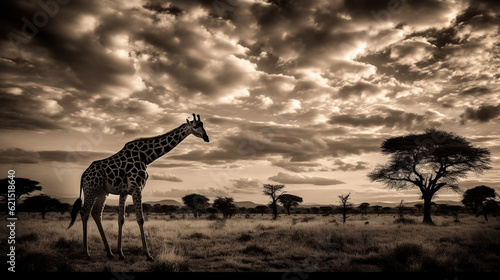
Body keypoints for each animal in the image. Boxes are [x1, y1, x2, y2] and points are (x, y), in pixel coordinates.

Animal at [67, 113, 208, 260]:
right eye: (195, 126)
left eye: (203, 125)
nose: (206, 138)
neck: (146, 157)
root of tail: (83, 176)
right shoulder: (137, 188)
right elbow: (140, 219)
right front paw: (148, 254)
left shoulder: (124, 191)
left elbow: (121, 219)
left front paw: (121, 253)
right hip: (91, 190)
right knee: (84, 213)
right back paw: (86, 253)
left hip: (102, 192)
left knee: (96, 213)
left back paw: (109, 252)